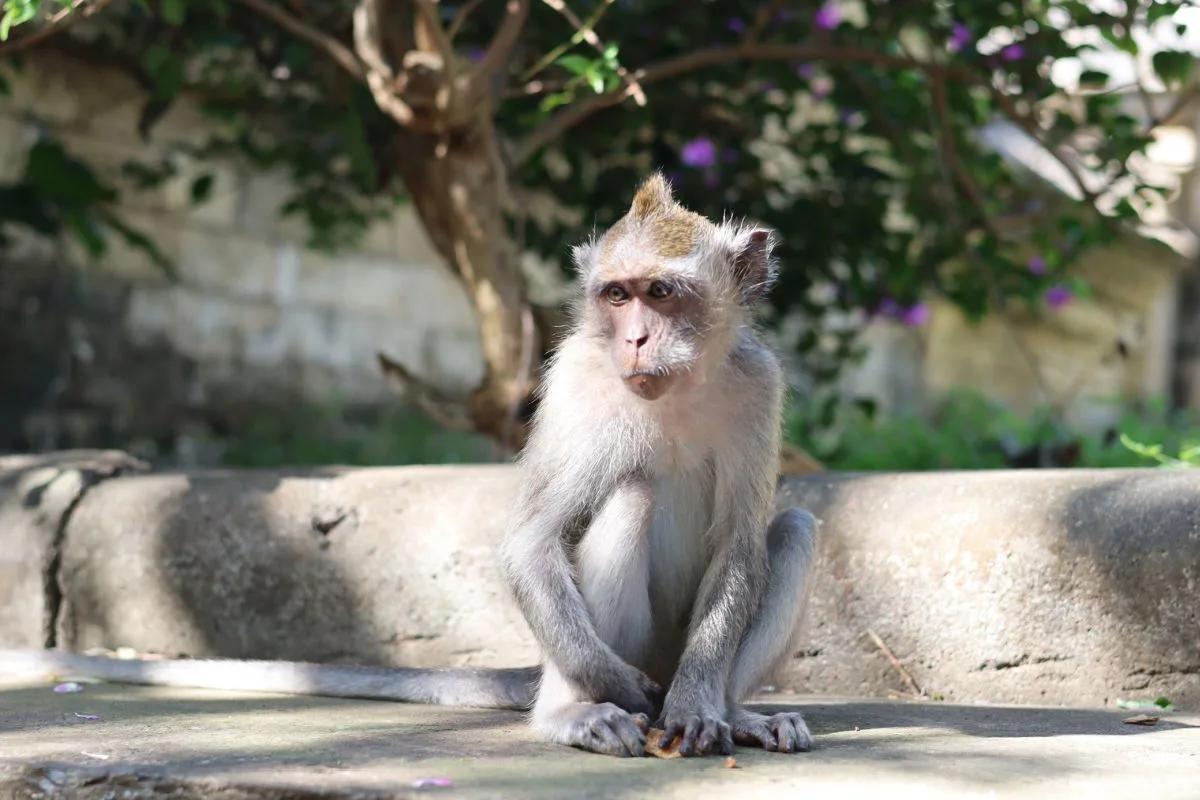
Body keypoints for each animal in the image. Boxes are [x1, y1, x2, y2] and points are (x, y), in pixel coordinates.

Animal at [0, 173, 817, 759]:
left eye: (662, 292)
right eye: (617, 294)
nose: (635, 339)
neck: (675, 389)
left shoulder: (758, 385)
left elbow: (740, 549)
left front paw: (697, 704)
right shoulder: (578, 384)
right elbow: (531, 541)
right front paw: (613, 688)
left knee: (794, 530)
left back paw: (736, 711)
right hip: (619, 645)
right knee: (632, 495)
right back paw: (573, 711)